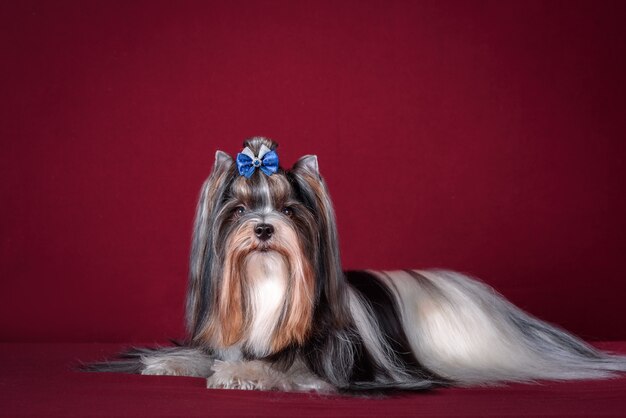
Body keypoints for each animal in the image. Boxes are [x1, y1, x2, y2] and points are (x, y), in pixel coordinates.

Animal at [86, 136, 624, 392]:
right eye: (237, 210)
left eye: (289, 210)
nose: (263, 229)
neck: (267, 281)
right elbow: (209, 354)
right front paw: (171, 362)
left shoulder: (325, 361)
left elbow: (287, 368)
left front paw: (246, 374)